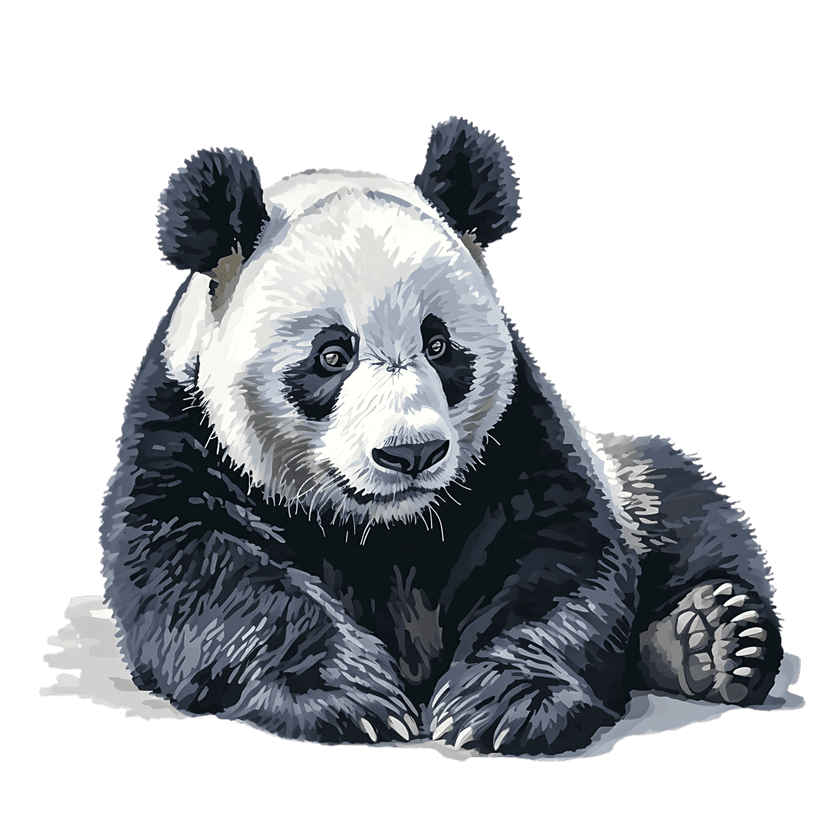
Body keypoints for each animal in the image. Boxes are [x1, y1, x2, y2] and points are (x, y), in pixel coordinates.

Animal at [101, 117, 783, 756]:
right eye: (331, 356)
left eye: (438, 345)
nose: (411, 454)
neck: (384, 526)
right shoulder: (183, 430)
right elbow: (201, 566)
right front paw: (349, 698)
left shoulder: (515, 437)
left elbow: (560, 554)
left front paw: (510, 705)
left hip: (634, 480)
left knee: (689, 504)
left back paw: (712, 637)